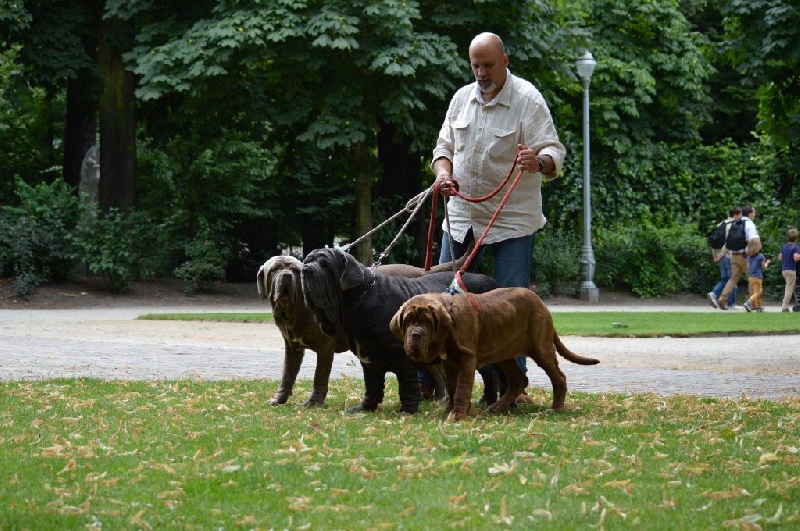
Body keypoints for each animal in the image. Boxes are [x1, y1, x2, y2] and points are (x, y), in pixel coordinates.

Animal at [302, 249, 500, 416]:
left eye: (325, 265)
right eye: (307, 261)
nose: (305, 269)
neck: (360, 300)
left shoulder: (402, 355)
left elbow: (407, 386)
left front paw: (407, 411)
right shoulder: (369, 359)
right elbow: (372, 386)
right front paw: (364, 408)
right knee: (490, 374)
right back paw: (486, 402)